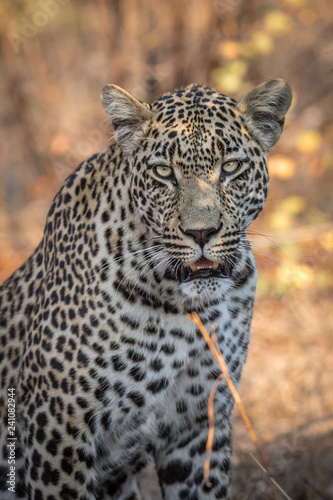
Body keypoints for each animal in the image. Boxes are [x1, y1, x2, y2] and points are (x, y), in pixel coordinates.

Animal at [0, 79, 290, 500]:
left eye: (230, 167)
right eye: (163, 172)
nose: (201, 232)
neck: (186, 307)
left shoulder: (199, 422)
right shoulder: (57, 426)